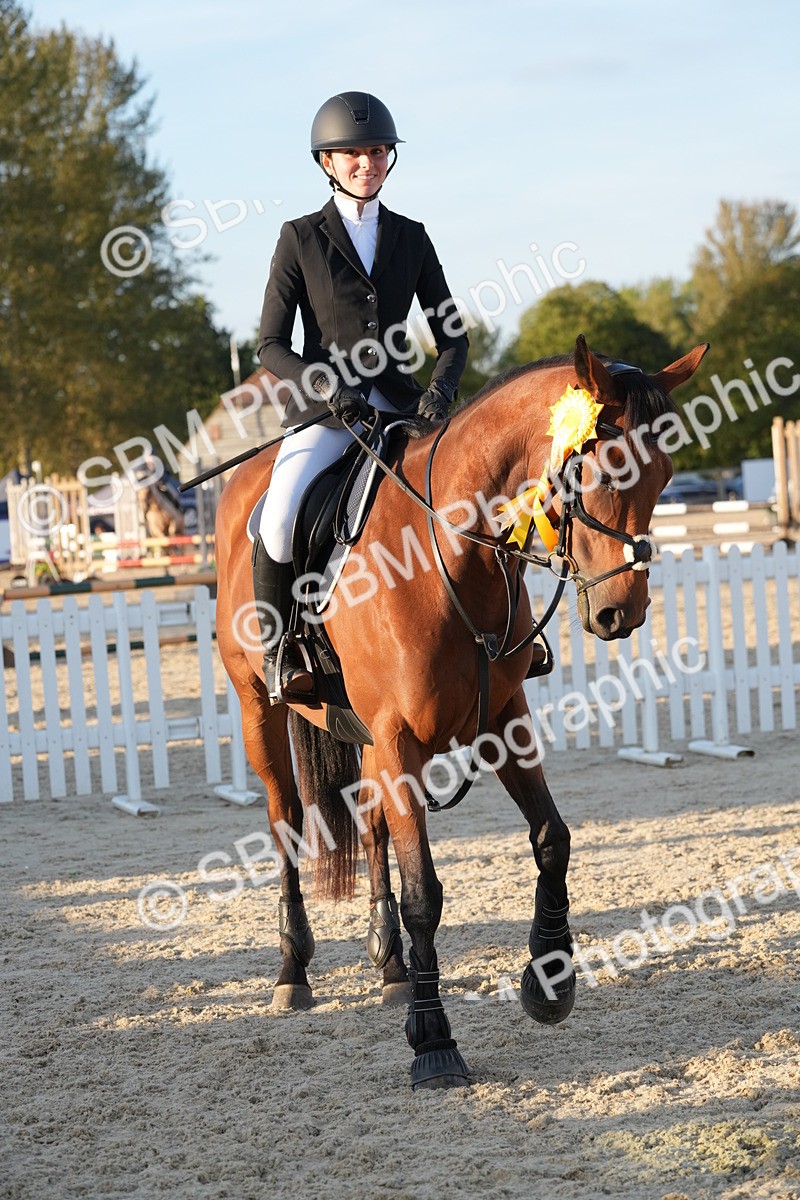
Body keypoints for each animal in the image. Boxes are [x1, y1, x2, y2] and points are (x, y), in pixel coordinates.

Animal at [214, 334, 708, 1090]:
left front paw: (548, 982)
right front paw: (432, 1041)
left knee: (371, 825)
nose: (619, 614)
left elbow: (552, 839)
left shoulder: (502, 718)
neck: (446, 549)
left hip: (364, 734)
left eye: (665, 474)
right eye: (600, 471)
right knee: (286, 822)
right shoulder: (398, 739)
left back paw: (389, 962)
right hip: (259, 711)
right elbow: (426, 892)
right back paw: (292, 970)